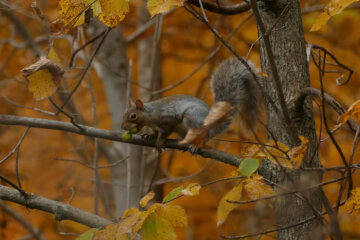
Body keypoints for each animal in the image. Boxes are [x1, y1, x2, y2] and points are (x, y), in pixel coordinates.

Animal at [121, 58, 262, 148]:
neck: (150, 116)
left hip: (192, 118)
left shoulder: (167, 119)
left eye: (133, 116)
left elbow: (166, 131)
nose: (122, 127)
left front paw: (160, 142)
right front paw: (149, 135)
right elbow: (155, 132)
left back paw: (197, 146)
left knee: (204, 137)